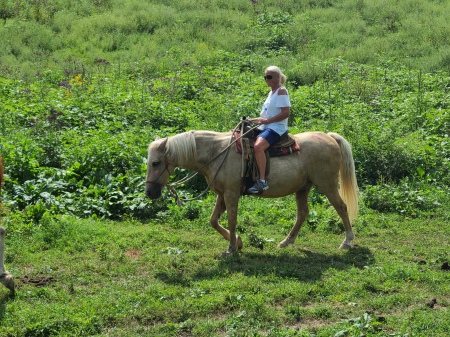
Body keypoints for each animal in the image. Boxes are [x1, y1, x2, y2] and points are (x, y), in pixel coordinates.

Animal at [147, 130, 358, 253]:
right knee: (302, 213)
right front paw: (238, 242)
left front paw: (232, 248)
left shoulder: (231, 194)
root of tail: (329, 136)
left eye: (155, 163)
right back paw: (286, 241)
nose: (149, 192)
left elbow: (232, 221)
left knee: (341, 207)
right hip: (303, 188)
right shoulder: (222, 194)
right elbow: (213, 220)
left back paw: (347, 241)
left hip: (327, 184)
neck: (217, 153)